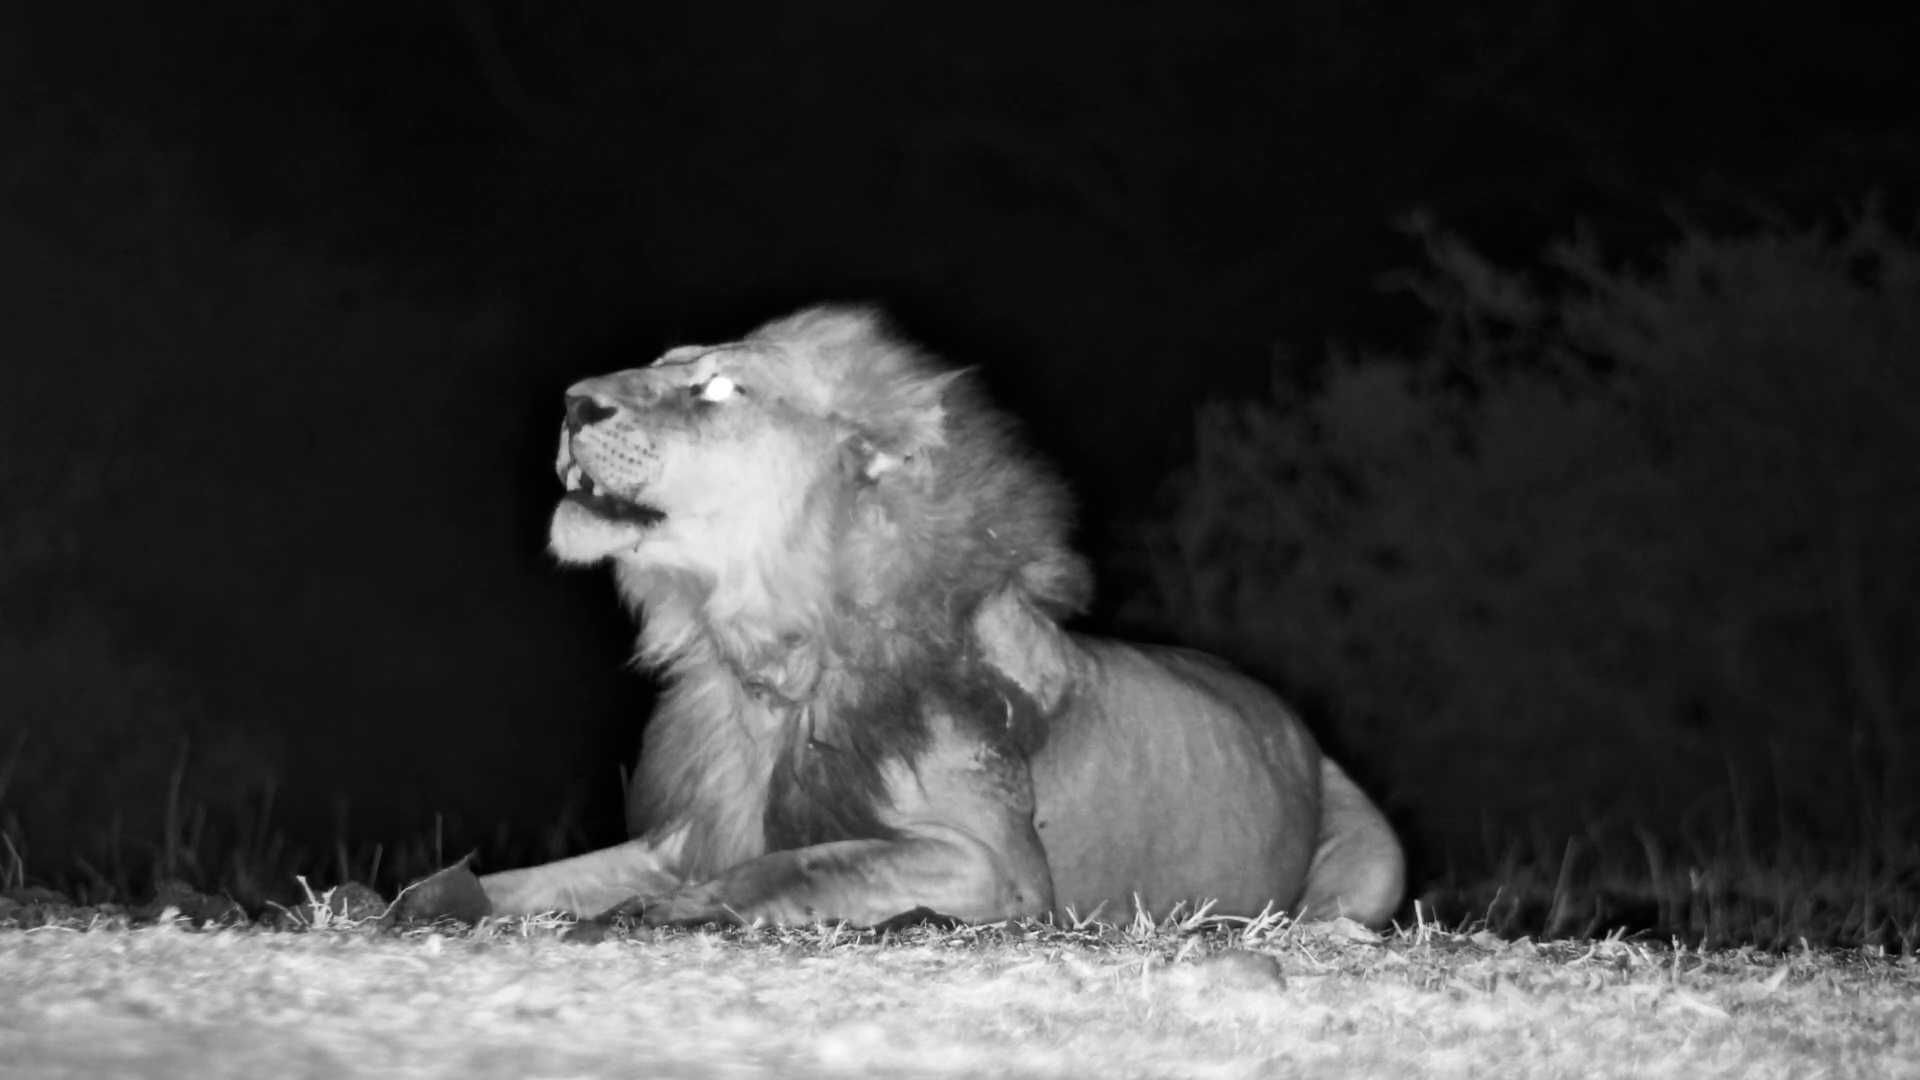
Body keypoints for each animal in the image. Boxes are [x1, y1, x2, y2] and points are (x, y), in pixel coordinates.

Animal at [469, 306, 1405, 928]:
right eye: (664, 364)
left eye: (721, 388)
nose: (573, 402)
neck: (772, 662)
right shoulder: (689, 830)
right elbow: (525, 879)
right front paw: (454, 896)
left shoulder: (998, 871)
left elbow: (803, 864)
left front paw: (689, 906)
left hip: (1376, 859)